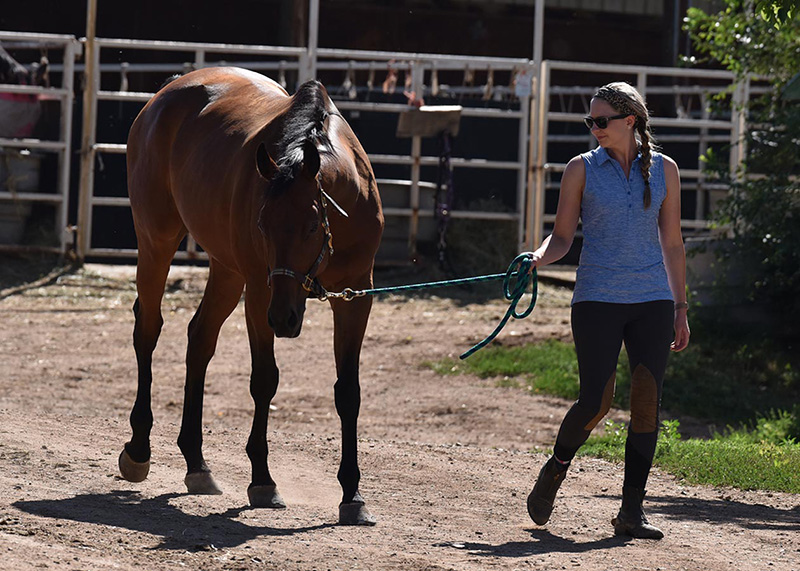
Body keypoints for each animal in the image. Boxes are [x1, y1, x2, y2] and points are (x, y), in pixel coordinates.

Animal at [117, 67, 386, 528]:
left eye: (311, 226)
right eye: (263, 224)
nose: (284, 319)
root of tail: (168, 91)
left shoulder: (355, 295)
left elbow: (348, 392)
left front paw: (352, 494)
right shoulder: (261, 291)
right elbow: (264, 380)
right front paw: (262, 479)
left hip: (227, 270)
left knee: (200, 338)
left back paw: (197, 464)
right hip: (157, 241)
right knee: (148, 330)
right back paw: (138, 449)